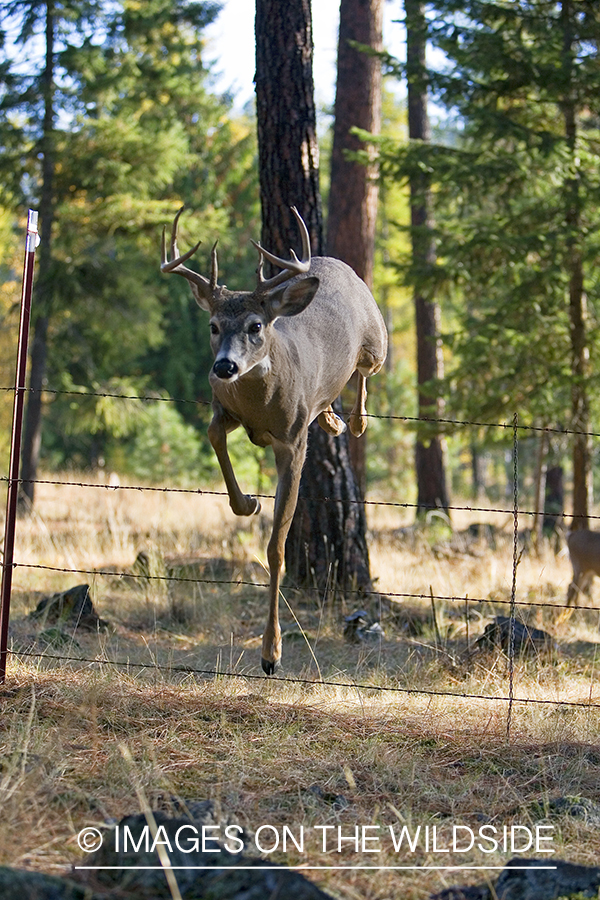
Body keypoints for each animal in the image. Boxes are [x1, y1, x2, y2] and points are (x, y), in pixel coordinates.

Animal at [161, 207, 387, 673]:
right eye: (213, 325)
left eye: (256, 325)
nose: (224, 366)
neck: (261, 403)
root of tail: (335, 263)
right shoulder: (225, 409)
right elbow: (213, 433)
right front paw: (247, 503)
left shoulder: (292, 441)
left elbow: (276, 548)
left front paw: (271, 654)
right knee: (334, 395)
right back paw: (333, 421)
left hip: (379, 341)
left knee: (365, 371)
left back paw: (354, 422)